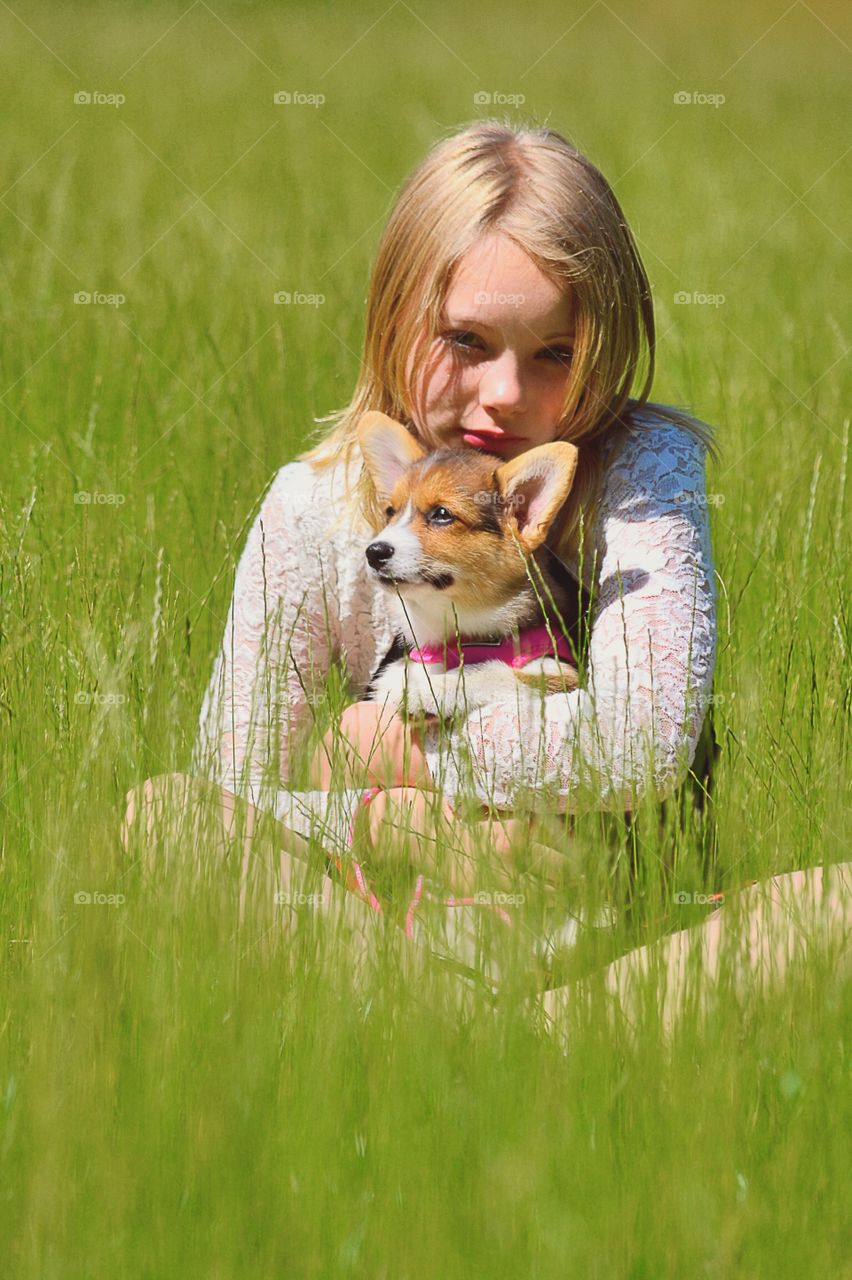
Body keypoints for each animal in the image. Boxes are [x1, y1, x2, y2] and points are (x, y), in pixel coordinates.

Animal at [355, 414, 588, 727]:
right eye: (390, 512)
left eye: (442, 514)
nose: (373, 552)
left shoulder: (559, 672)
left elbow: (486, 673)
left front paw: (425, 691)